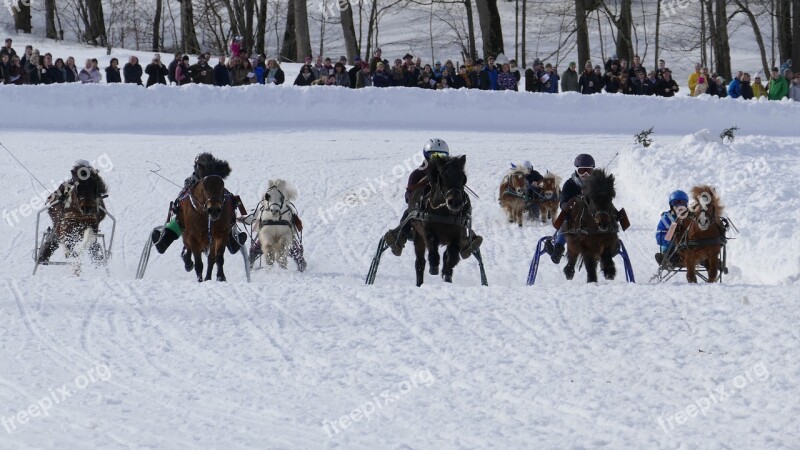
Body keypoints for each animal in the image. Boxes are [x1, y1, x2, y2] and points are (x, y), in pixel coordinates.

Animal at [410, 155, 472, 286]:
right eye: (442, 176)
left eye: (463, 178)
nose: (455, 202)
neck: (445, 213)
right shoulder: (427, 229)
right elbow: (433, 245)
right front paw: (434, 266)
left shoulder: (458, 233)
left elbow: (453, 253)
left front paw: (447, 271)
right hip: (417, 235)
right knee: (420, 262)